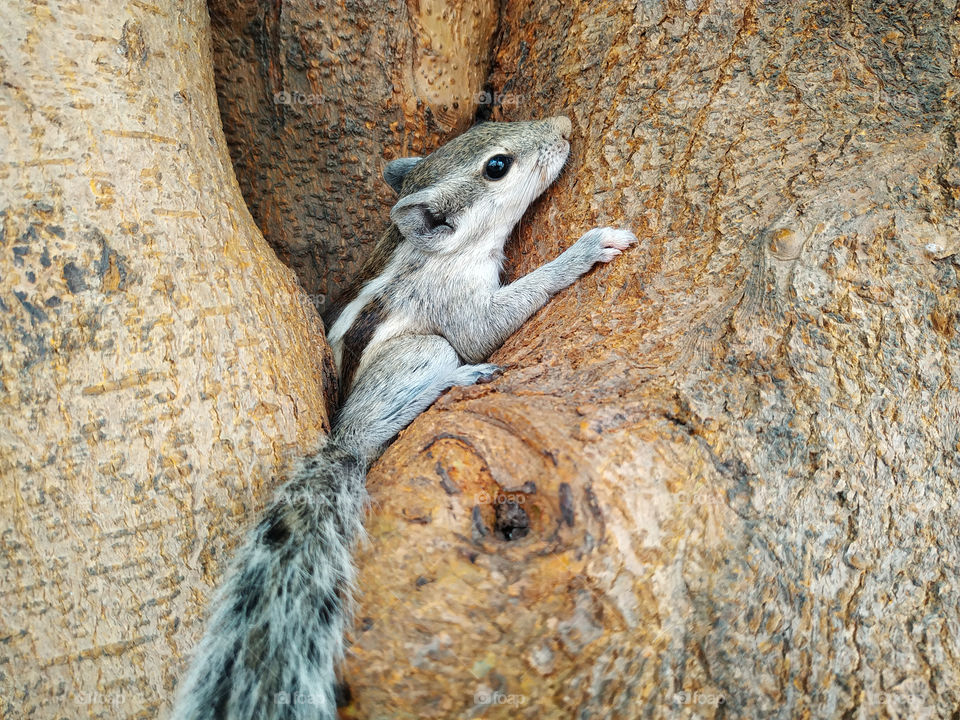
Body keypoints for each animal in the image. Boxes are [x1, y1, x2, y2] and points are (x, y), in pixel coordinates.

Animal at [171, 115, 637, 720]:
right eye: (497, 166)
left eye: (491, 123)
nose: (561, 126)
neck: (425, 249)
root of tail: (341, 441)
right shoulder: (454, 302)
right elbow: (486, 328)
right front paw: (586, 249)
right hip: (417, 356)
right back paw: (452, 381)